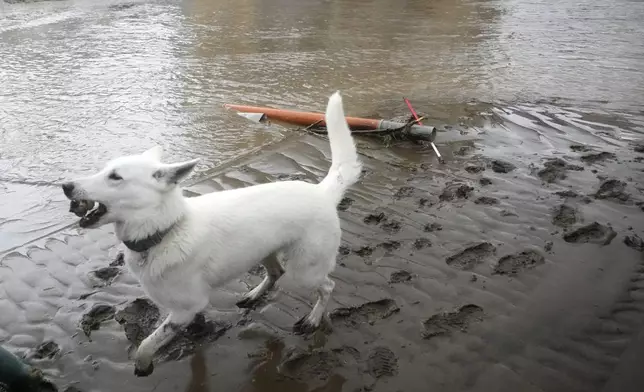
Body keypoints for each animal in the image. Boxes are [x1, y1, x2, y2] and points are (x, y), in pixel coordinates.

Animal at [61, 92, 362, 376]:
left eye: (115, 177)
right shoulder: (189, 307)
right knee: (276, 272)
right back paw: (254, 295)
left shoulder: (183, 308)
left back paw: (313, 319)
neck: (166, 231)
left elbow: (147, 343)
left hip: (305, 271)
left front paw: (144, 365)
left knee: (327, 286)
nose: (65, 185)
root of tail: (322, 192)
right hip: (263, 249)